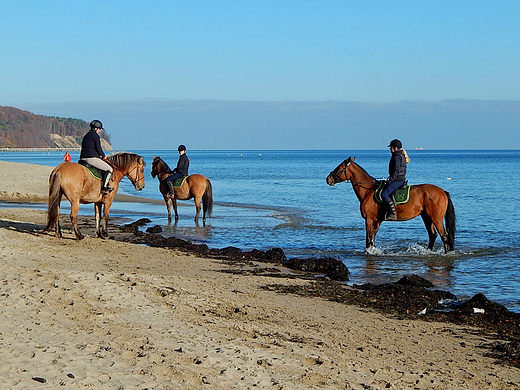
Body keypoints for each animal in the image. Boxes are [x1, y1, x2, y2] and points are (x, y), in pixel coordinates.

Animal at [328, 158, 458, 253]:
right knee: (432, 235)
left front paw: (368, 252)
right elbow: (372, 238)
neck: (369, 191)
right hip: (426, 217)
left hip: (436, 218)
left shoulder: (369, 219)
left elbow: (368, 238)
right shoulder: (377, 220)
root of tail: (442, 191)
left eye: (339, 168)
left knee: (444, 236)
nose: (328, 179)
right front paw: (373, 250)